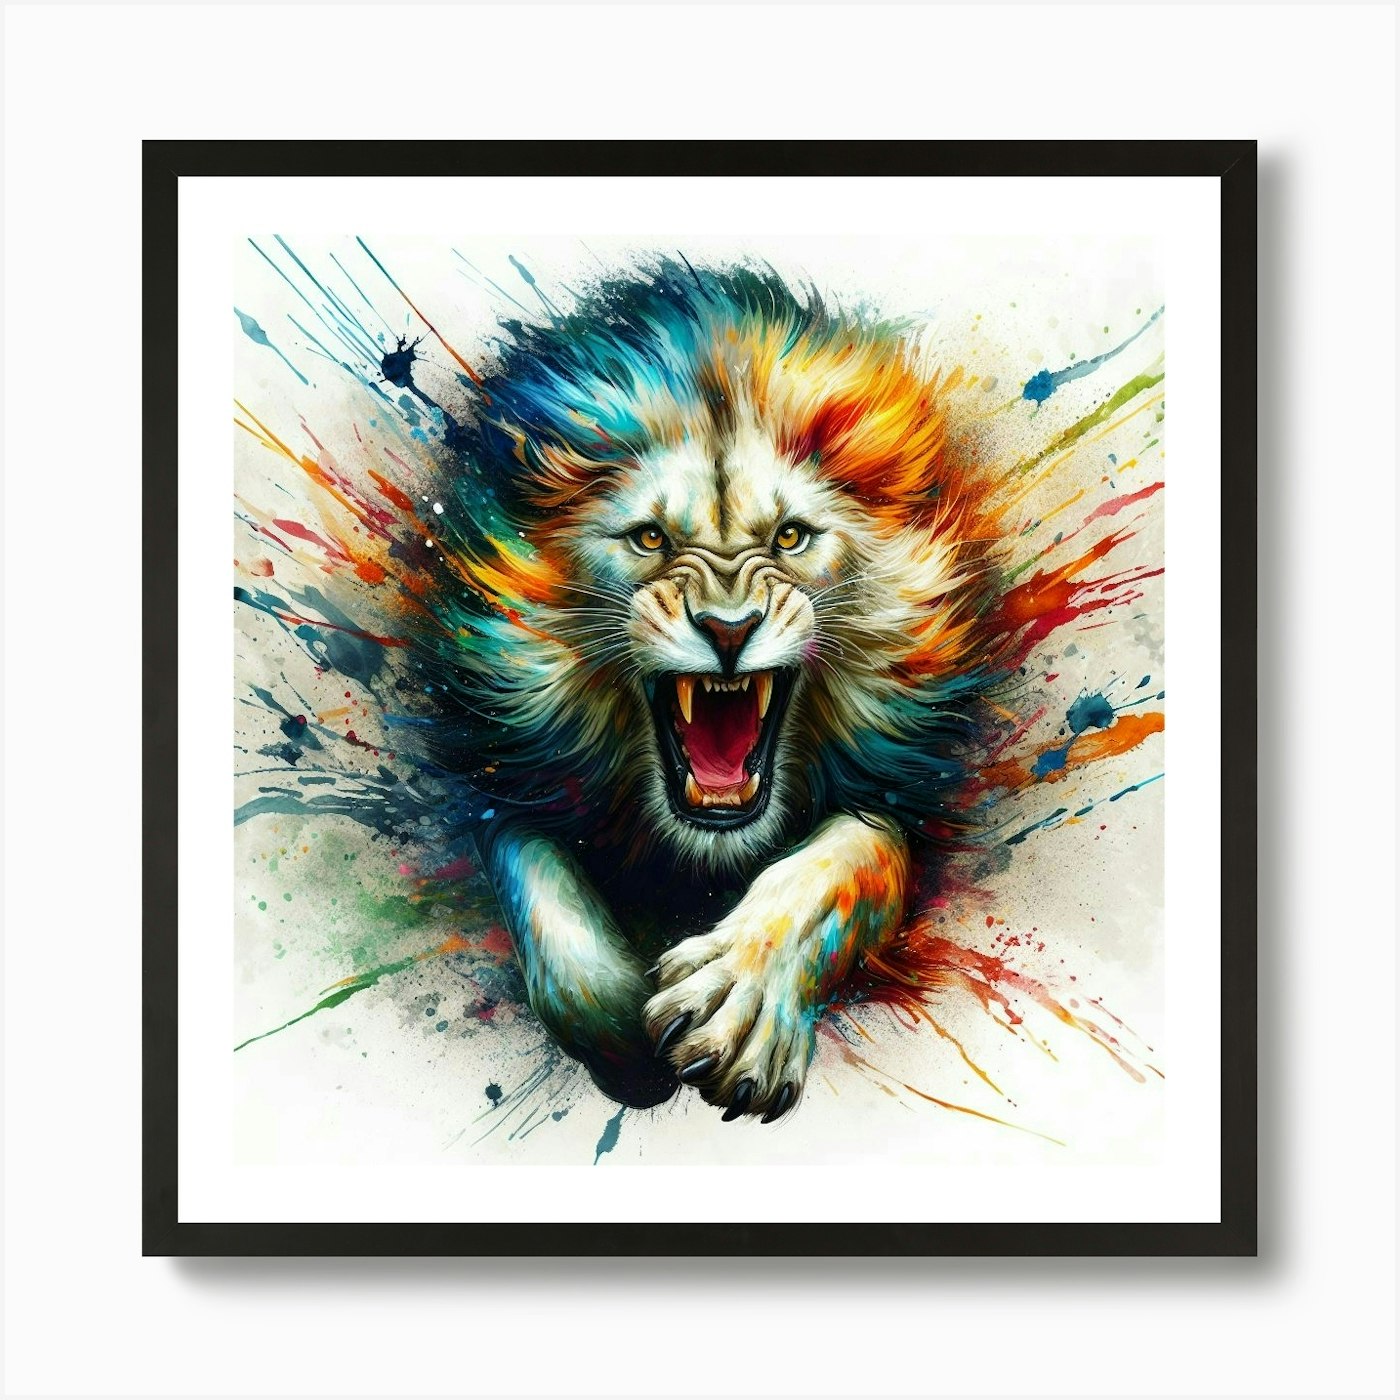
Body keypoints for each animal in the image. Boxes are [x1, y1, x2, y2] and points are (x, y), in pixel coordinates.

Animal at [404, 262, 1007, 1120]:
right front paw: (621, 1032)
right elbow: (537, 886)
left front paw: (738, 1003)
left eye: (790, 536)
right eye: (650, 538)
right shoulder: (494, 771)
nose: (728, 628)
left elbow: (846, 863)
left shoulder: (919, 796)